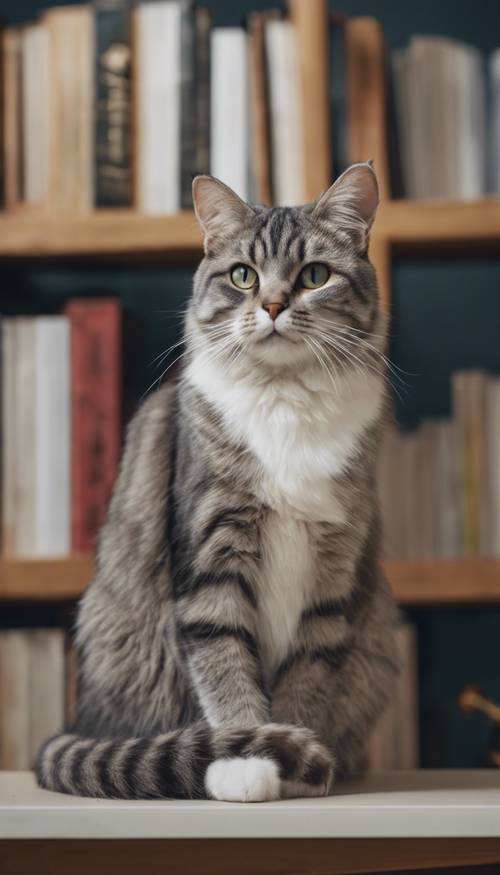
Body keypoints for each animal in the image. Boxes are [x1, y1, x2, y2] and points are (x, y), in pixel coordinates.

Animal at [36, 163, 398, 800]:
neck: (285, 401)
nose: (274, 305)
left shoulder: (333, 572)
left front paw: (300, 759)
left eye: (314, 275)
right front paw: (250, 758)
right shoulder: (211, 553)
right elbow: (224, 662)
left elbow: (307, 674)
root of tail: (84, 718)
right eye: (242, 276)